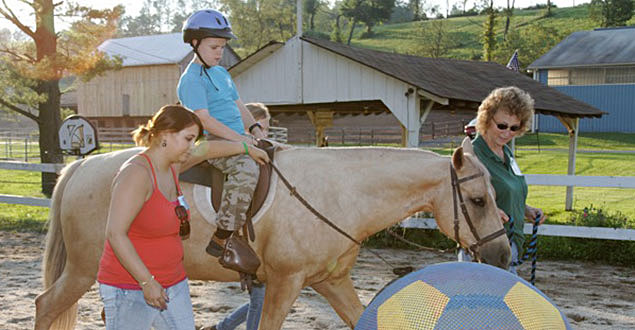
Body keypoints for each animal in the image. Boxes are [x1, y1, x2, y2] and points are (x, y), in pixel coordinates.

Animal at [33, 135, 512, 328]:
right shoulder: (285, 282)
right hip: (83, 269)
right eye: (478, 201)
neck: (339, 191)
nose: (503, 256)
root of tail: (80, 167)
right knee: (44, 306)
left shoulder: (331, 281)